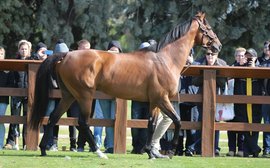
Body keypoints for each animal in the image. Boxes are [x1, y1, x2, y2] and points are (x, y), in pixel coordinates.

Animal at [30, 11, 221, 159]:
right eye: (209, 29)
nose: (218, 46)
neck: (165, 60)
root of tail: (66, 55)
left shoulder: (154, 101)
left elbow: (151, 125)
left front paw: (151, 153)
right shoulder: (162, 99)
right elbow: (178, 121)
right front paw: (171, 151)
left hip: (69, 95)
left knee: (53, 117)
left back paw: (43, 150)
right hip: (84, 96)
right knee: (82, 122)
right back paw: (99, 152)